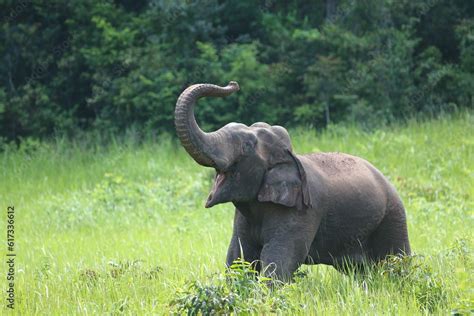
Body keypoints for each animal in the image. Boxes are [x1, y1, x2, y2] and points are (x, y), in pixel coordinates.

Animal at [174, 80, 412, 280]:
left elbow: (279, 260)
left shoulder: (301, 212)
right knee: (361, 272)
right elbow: (239, 255)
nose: (234, 84)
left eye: (247, 146)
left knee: (396, 260)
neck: (290, 155)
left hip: (393, 216)